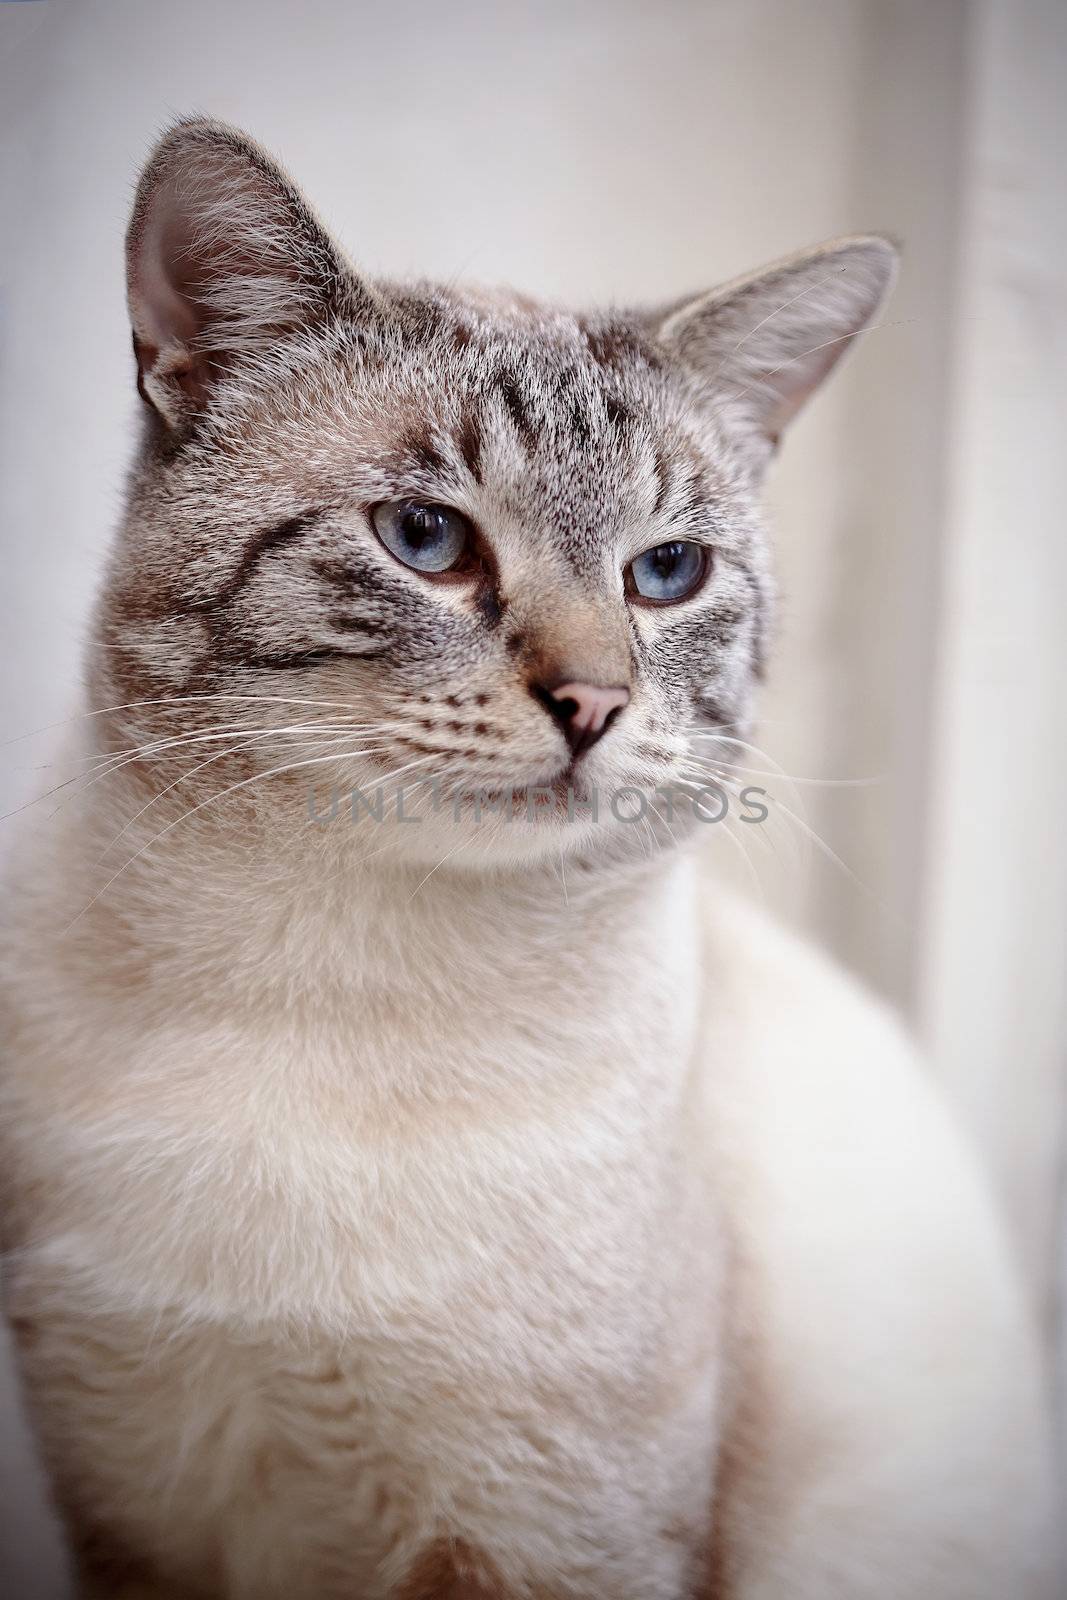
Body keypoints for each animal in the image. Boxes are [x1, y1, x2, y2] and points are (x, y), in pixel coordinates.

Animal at [0, 121, 1055, 1600]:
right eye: (426, 540)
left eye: (664, 573)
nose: (592, 703)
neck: (330, 979)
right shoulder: (133, 1512)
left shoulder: (546, 1540)